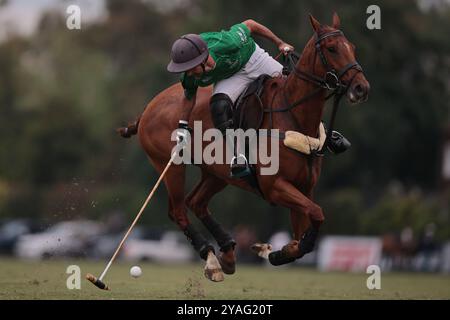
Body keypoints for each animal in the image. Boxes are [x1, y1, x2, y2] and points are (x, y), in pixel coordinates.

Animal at [118, 13, 370, 282]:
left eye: (352, 47)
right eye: (332, 48)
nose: (361, 88)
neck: (293, 116)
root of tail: (147, 109)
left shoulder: (304, 187)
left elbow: (304, 232)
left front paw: (273, 251)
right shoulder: (275, 186)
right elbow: (317, 215)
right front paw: (273, 252)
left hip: (216, 172)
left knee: (196, 201)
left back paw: (227, 253)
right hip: (170, 165)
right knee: (178, 210)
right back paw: (211, 258)